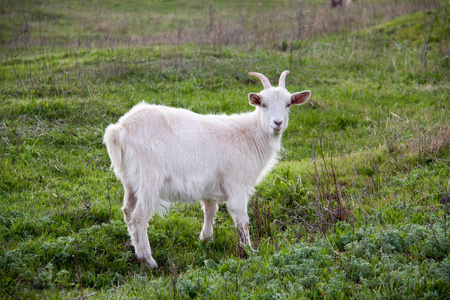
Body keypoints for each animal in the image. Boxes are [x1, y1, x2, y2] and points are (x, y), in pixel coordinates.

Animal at [103, 71, 312, 268]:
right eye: (264, 104)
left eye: (288, 104)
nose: (277, 123)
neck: (249, 136)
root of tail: (119, 129)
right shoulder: (236, 183)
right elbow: (241, 218)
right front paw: (249, 250)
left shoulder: (210, 185)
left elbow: (210, 210)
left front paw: (206, 239)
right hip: (149, 178)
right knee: (139, 216)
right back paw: (148, 260)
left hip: (130, 180)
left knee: (127, 211)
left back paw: (136, 250)